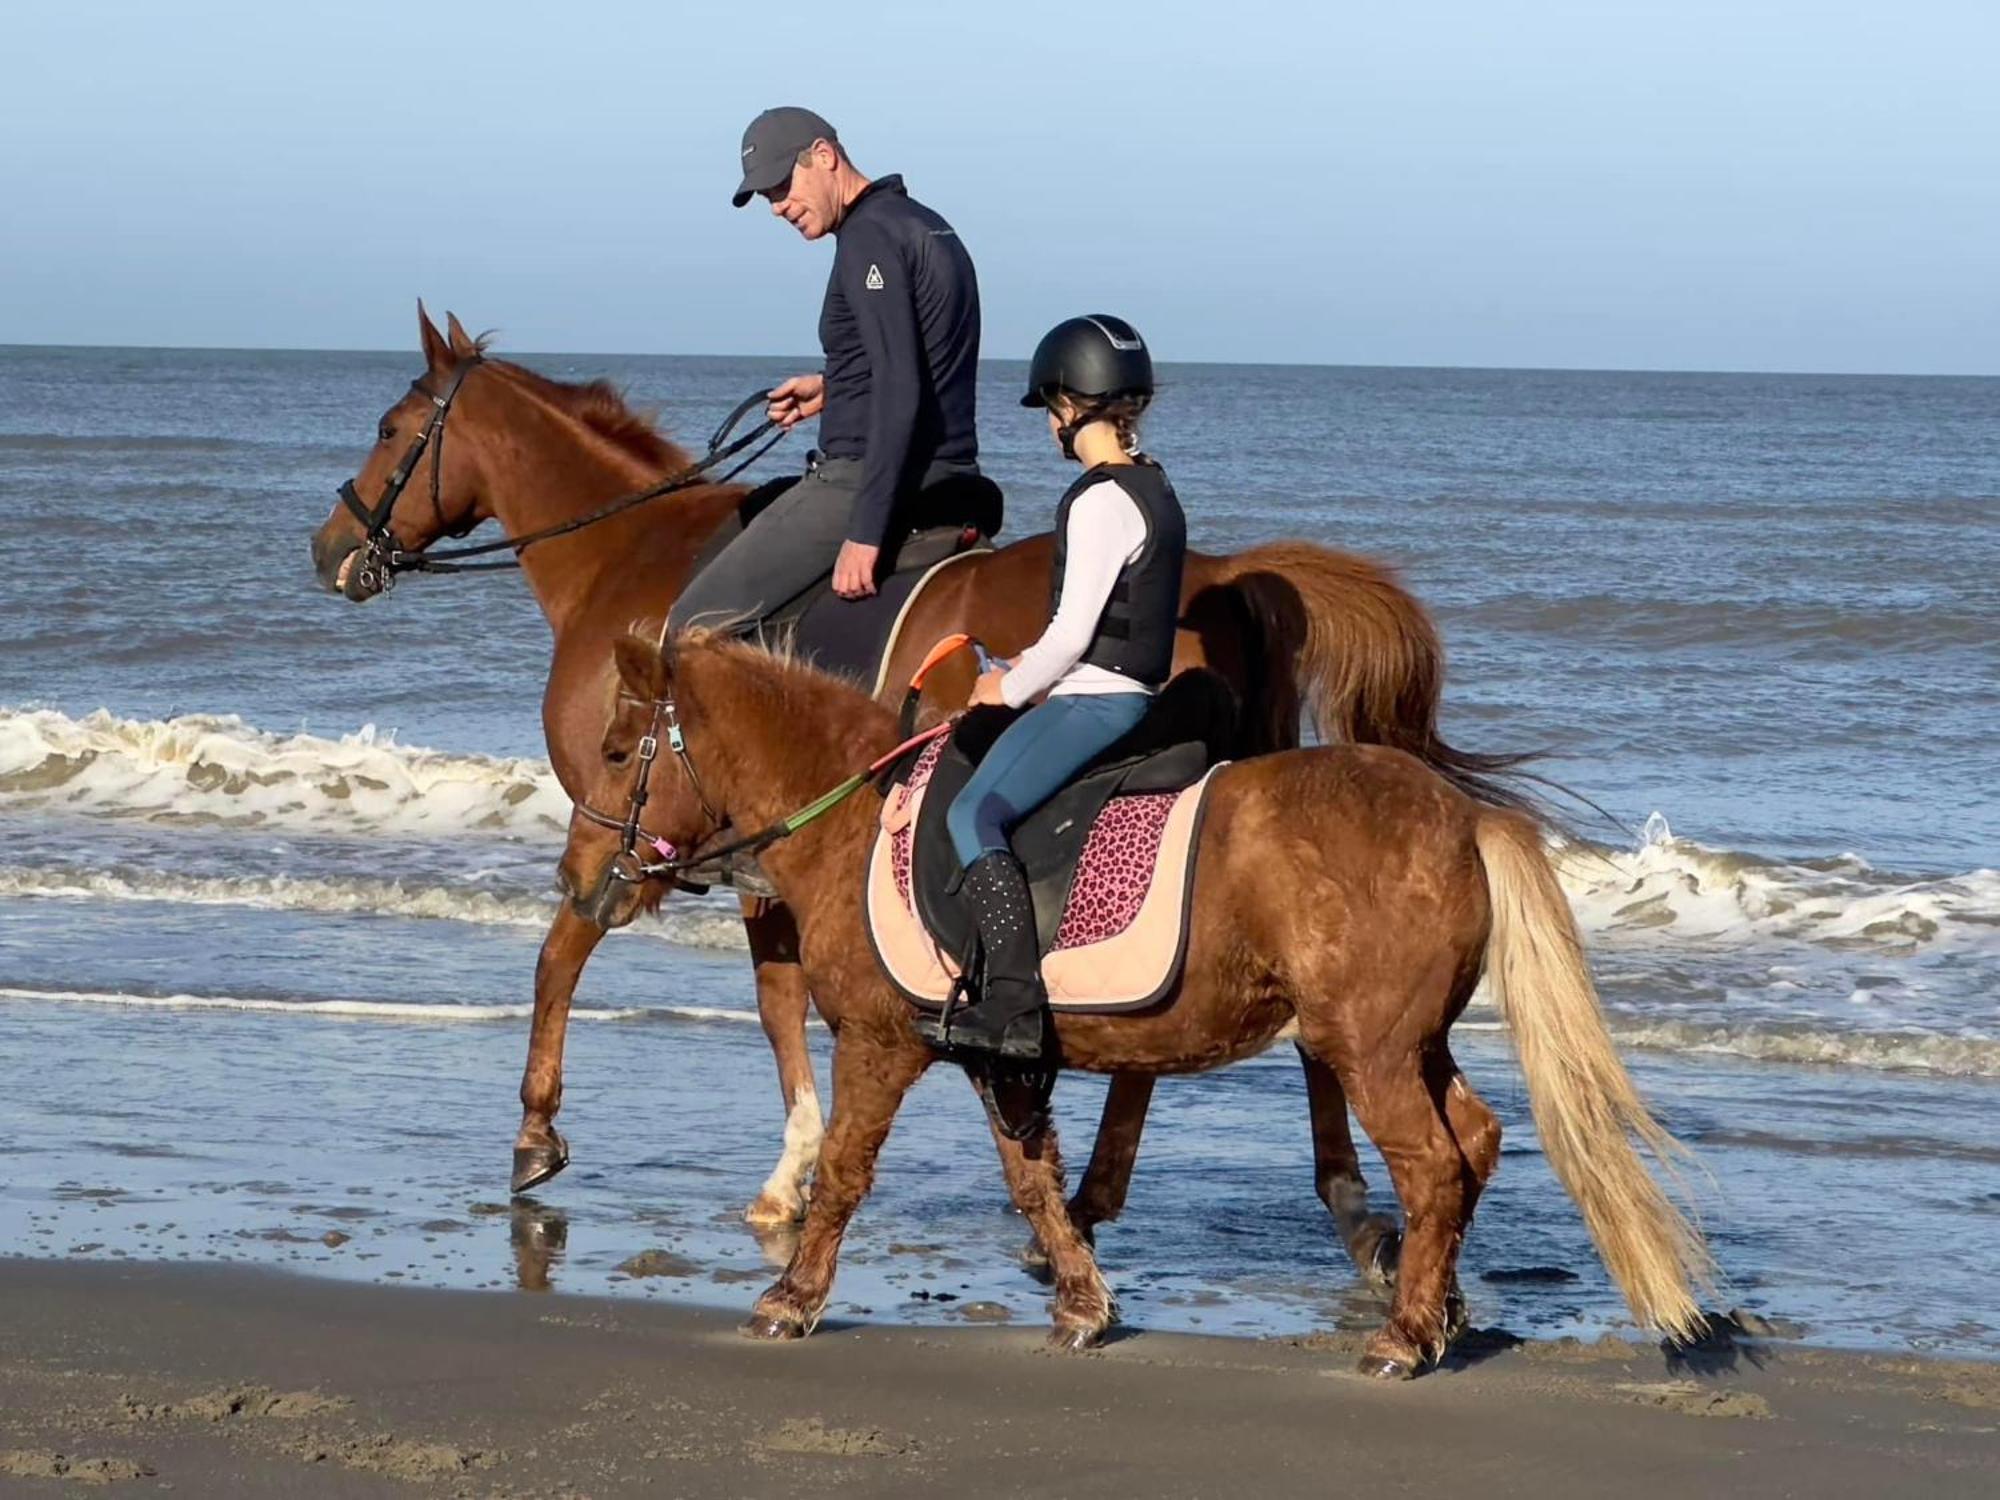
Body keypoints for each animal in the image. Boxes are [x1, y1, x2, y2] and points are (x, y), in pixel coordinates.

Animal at [304, 302, 1512, 1256]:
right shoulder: (763, 856)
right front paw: (793, 1168)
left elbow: (562, 958)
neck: (627, 563)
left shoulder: (622, 832)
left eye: (391, 430)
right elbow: (778, 999)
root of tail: (1227, 574)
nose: (328, 550)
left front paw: (540, 1136)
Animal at [600, 628, 1712, 1384]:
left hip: (1366, 1048)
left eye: (616, 752)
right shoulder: (993, 1054)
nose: (599, 885)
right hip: (1413, 1040)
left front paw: (788, 1300)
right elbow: (1032, 1183)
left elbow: (842, 1173)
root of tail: (1458, 815)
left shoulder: (878, 1043)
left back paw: (1402, 1338)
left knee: (1434, 1167)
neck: (854, 816)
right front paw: (1083, 1305)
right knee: (1474, 1140)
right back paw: (1434, 1316)